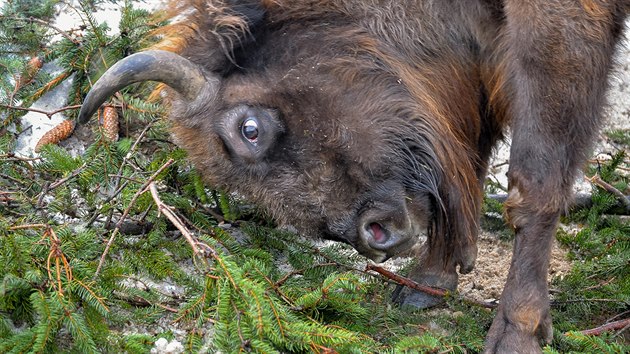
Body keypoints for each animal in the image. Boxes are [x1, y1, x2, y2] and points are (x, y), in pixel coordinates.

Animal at [76, 1, 628, 352]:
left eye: (249, 129)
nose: (374, 235)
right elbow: (472, 149)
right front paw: (427, 282)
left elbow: (534, 181)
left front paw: (518, 334)